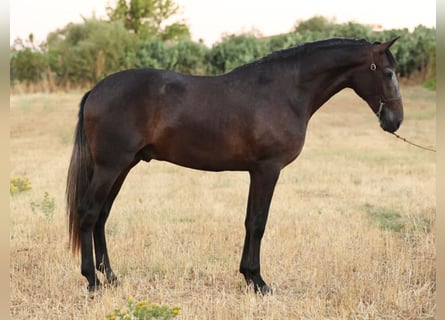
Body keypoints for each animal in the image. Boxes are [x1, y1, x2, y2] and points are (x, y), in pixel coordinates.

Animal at [65, 36, 402, 294]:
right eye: (387, 72)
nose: (395, 120)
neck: (285, 91)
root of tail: (96, 90)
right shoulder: (267, 170)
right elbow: (257, 223)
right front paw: (258, 281)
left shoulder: (257, 172)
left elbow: (250, 221)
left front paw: (249, 277)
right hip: (110, 167)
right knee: (89, 213)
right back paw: (92, 281)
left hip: (122, 167)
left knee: (102, 216)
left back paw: (111, 277)